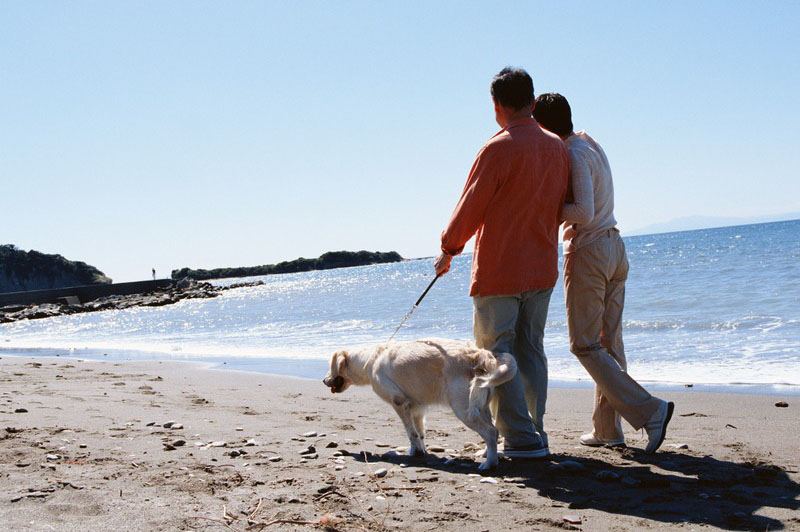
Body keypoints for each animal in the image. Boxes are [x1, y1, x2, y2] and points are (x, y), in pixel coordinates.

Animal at [322, 336, 516, 470]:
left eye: (330, 366)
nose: (323, 381)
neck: (370, 360)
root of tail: (480, 355)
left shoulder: (399, 403)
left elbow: (411, 433)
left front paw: (415, 452)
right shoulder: (417, 409)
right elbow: (419, 433)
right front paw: (420, 450)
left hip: (464, 409)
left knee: (490, 432)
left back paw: (489, 464)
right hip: (480, 406)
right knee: (494, 430)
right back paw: (486, 453)